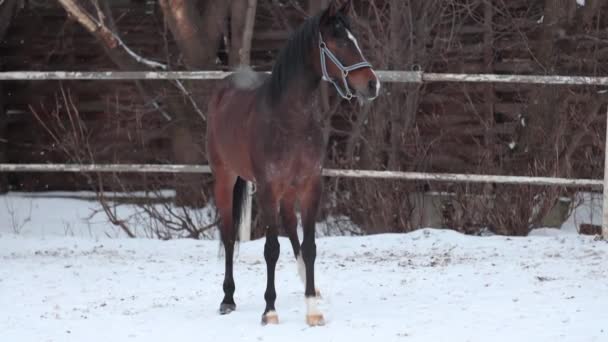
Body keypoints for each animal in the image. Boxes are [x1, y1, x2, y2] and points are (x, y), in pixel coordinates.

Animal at [208, 0, 380, 326]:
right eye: (338, 42)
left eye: (355, 40)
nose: (372, 84)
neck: (289, 118)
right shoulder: (267, 189)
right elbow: (270, 249)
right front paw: (269, 311)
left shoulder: (310, 185)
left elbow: (309, 246)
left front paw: (312, 308)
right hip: (225, 179)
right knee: (228, 235)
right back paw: (226, 299)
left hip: (288, 190)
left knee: (289, 224)